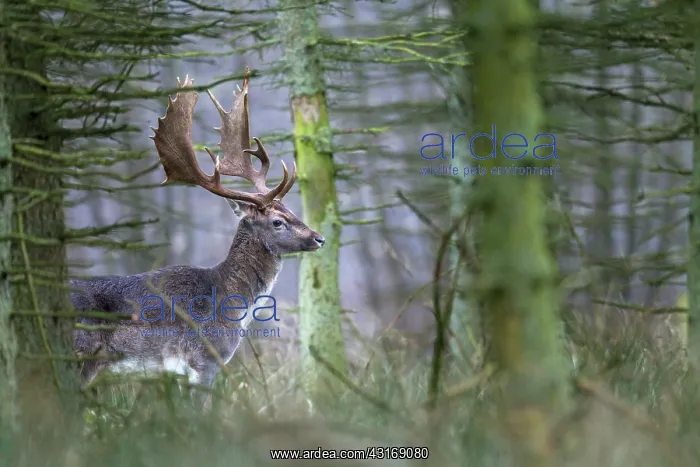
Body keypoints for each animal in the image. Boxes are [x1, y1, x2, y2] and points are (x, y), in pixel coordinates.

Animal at [71, 68, 325, 406]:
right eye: (277, 222)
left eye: (290, 209)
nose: (319, 238)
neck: (230, 304)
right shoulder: (204, 359)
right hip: (79, 356)